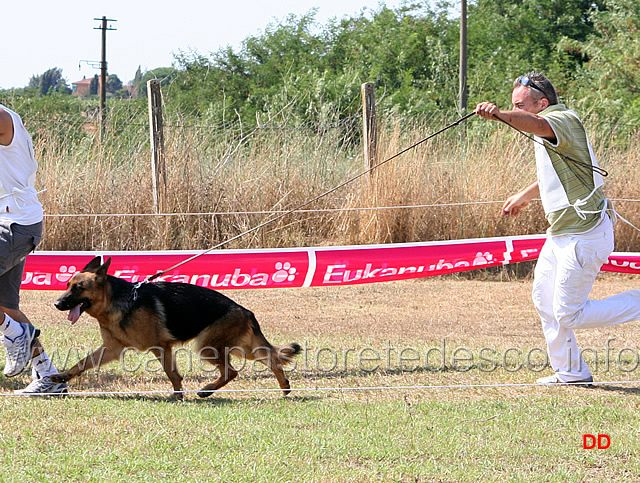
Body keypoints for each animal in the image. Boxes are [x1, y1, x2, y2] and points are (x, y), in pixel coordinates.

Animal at [51, 260, 302, 398]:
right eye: (67, 285)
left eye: (79, 288)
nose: (57, 304)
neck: (119, 301)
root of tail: (245, 310)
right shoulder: (112, 349)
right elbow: (82, 363)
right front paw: (62, 376)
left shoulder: (160, 347)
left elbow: (172, 373)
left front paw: (178, 396)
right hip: (243, 349)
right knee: (271, 359)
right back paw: (284, 387)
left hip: (207, 348)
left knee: (232, 371)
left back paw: (206, 390)